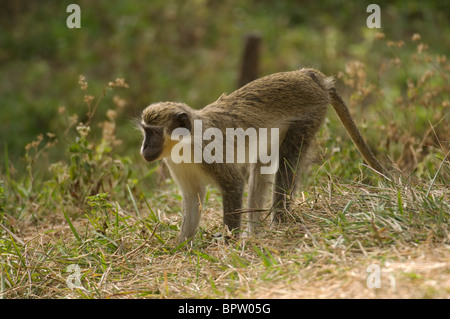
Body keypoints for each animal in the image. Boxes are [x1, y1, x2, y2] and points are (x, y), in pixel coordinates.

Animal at [139, 67, 384, 242]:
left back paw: (278, 223)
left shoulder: (208, 151)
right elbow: (193, 196)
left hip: (311, 114)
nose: (144, 148)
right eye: (145, 131)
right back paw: (254, 232)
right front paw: (180, 245)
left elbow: (234, 184)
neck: (185, 142)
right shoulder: (176, 163)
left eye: (153, 133)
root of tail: (307, 74)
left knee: (287, 159)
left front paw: (229, 241)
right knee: (263, 165)